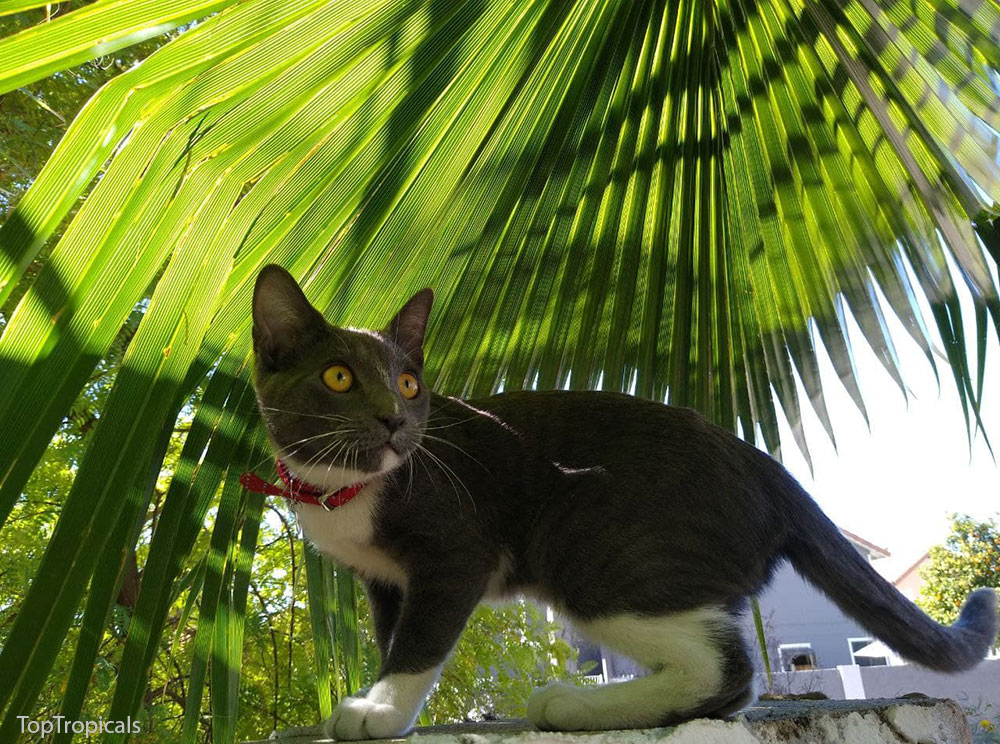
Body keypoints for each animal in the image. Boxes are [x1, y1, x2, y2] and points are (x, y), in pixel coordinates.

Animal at [248, 264, 992, 740]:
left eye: (408, 383)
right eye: (338, 378)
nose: (396, 421)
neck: (342, 487)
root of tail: (764, 465)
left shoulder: (456, 552)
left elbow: (420, 640)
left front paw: (380, 713)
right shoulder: (385, 581)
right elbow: (393, 635)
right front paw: (390, 704)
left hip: (593, 552)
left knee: (724, 668)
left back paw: (571, 707)